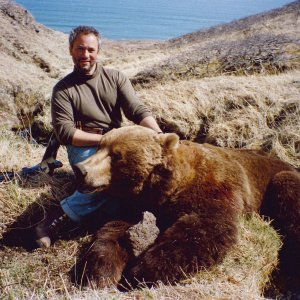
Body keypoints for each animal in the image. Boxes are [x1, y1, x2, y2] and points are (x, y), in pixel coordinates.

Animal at [73, 125, 300, 288]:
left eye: (116, 155)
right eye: (100, 145)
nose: (80, 169)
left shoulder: (212, 187)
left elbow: (205, 227)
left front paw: (142, 271)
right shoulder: (142, 203)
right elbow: (115, 229)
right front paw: (99, 271)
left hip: (278, 178)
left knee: (286, 188)